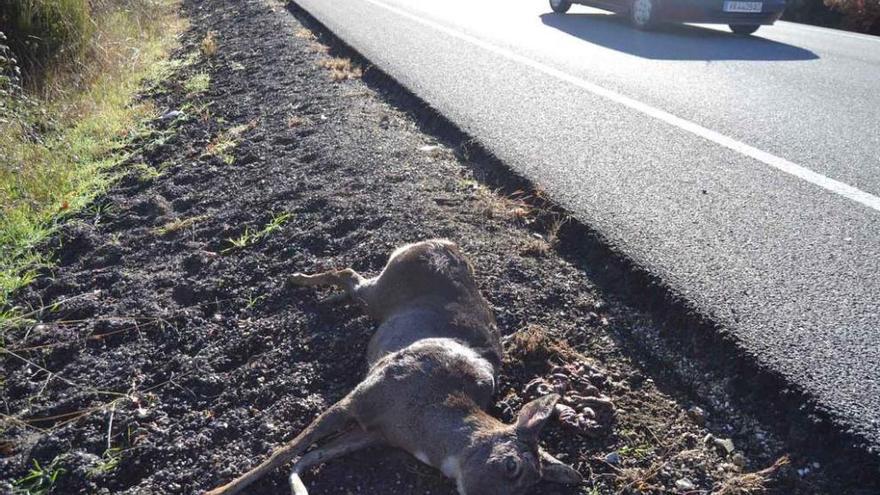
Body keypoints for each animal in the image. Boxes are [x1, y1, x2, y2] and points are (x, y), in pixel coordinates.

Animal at [203, 240, 580, 495]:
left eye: (530, 488)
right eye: (511, 465)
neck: (421, 420)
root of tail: (442, 243)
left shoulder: (375, 432)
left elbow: (312, 454)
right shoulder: (358, 397)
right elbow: (286, 450)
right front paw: (218, 490)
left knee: (351, 280)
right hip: (381, 292)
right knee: (350, 274)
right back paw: (297, 278)